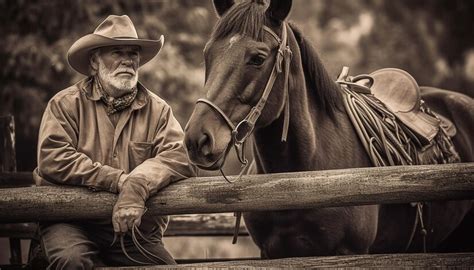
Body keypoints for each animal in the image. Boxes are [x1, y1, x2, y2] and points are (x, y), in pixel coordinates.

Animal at [183, 0, 472, 258]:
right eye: (208, 54)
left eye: (257, 58)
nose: (198, 139)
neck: (297, 179)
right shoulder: (271, 253)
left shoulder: (349, 252)